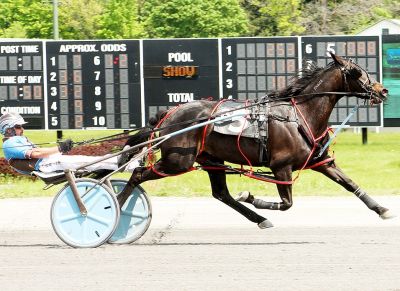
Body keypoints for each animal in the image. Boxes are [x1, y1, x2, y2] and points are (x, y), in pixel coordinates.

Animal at [119, 53, 394, 229]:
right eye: (357, 72)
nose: (382, 90)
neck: (300, 114)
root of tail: (169, 114)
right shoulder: (281, 167)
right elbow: (287, 204)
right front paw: (252, 197)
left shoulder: (321, 161)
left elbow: (349, 183)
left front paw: (382, 209)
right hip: (178, 161)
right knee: (139, 174)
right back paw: (116, 208)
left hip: (210, 159)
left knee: (222, 194)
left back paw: (260, 219)